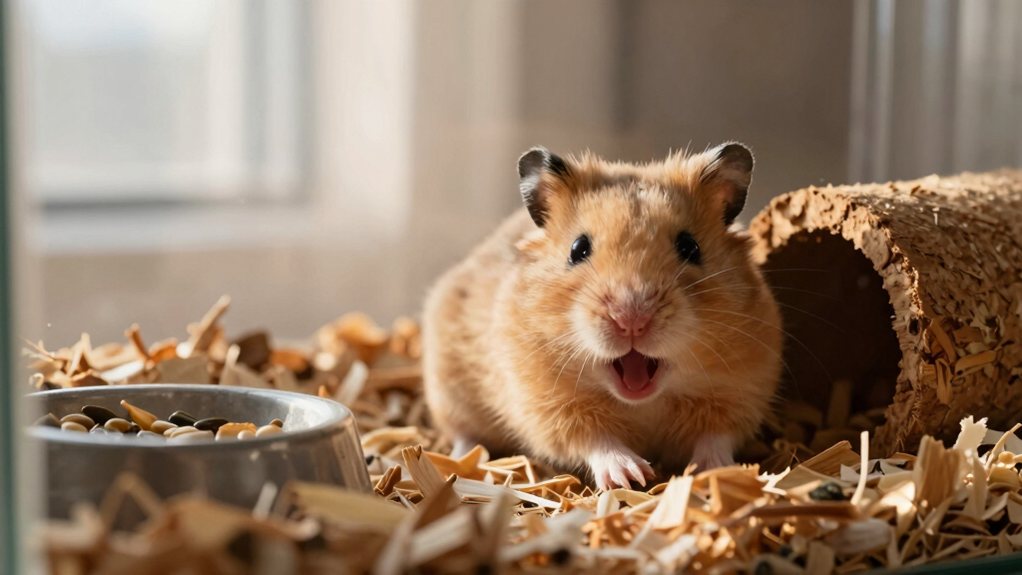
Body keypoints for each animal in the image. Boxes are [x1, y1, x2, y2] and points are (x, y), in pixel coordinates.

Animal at [422, 143, 782, 490]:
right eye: (578, 249)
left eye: (690, 247)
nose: (631, 318)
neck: (643, 401)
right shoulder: (547, 406)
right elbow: (594, 438)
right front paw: (632, 474)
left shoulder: (741, 391)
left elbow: (716, 437)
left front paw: (717, 471)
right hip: (448, 390)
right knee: (462, 431)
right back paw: (463, 457)